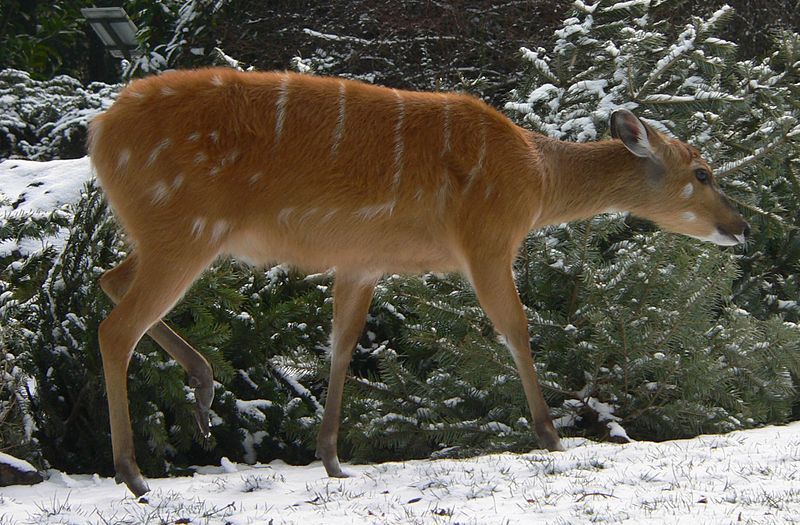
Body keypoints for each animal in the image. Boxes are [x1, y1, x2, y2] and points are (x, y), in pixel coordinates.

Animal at [87, 66, 752, 496]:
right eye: (702, 173)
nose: (742, 227)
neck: (536, 180)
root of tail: (99, 133)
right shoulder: (486, 237)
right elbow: (516, 328)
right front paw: (551, 435)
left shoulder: (362, 259)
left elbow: (341, 346)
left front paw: (333, 459)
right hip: (184, 225)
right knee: (116, 326)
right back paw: (133, 472)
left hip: (165, 232)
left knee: (109, 279)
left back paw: (201, 392)